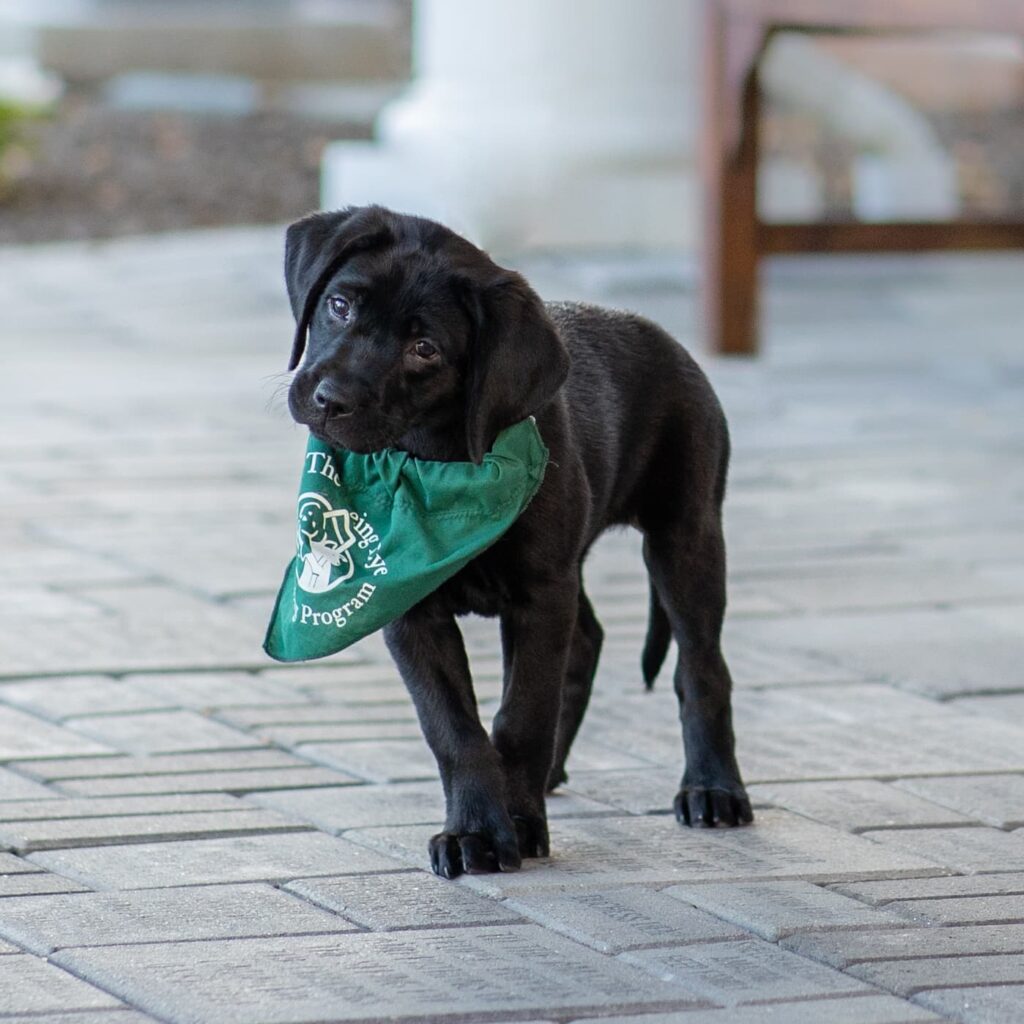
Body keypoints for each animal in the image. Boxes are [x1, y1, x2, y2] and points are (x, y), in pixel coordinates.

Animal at [284, 203, 749, 876]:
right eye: (340, 306)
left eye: (425, 349)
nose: (328, 399)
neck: (441, 460)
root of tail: (665, 339)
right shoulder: (411, 609)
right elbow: (454, 729)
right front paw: (478, 827)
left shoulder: (540, 594)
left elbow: (521, 714)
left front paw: (515, 824)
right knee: (588, 640)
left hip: (684, 535)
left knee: (702, 668)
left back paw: (713, 789)